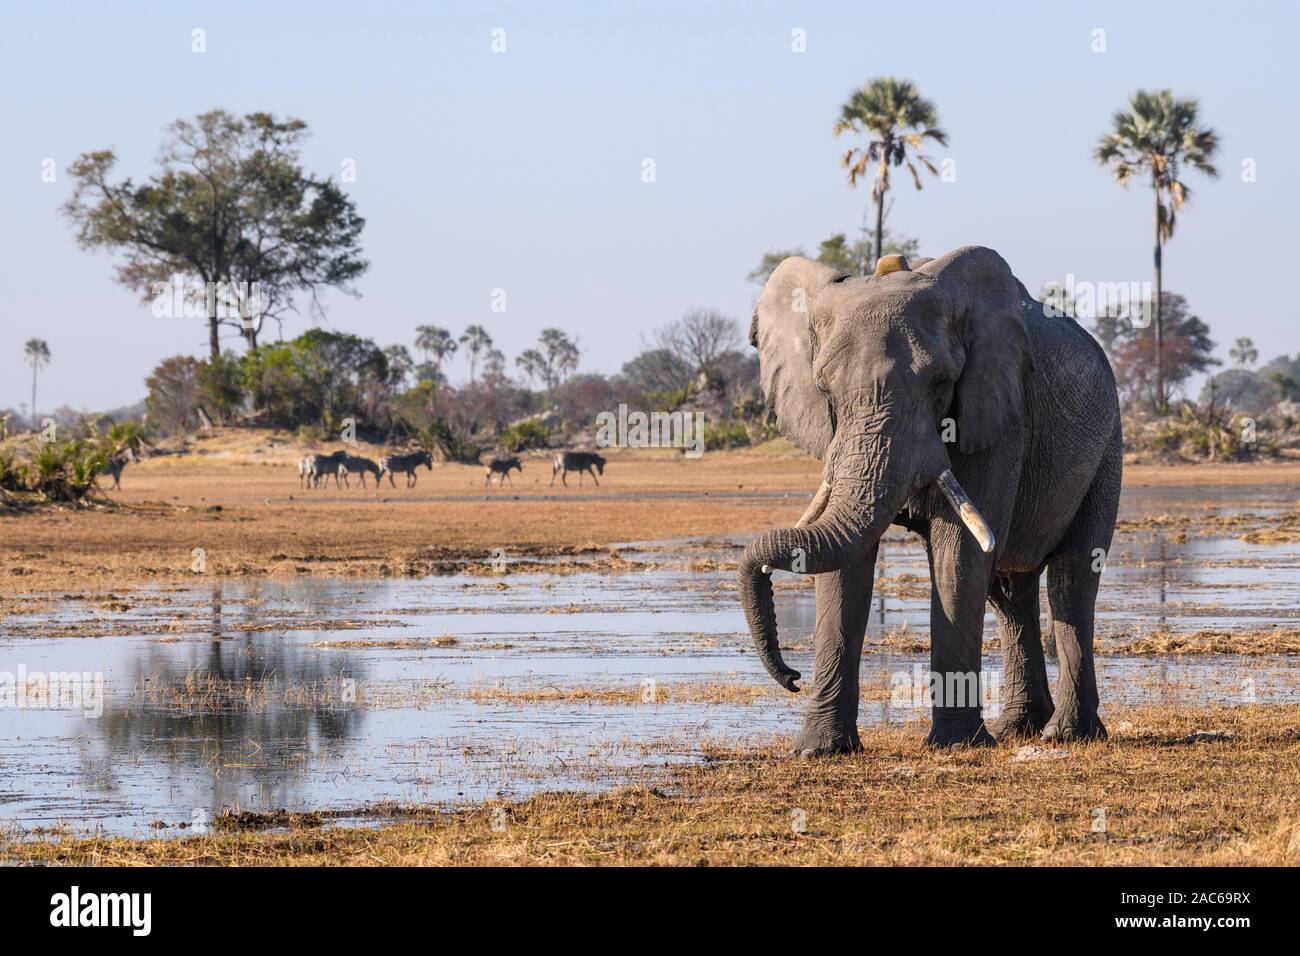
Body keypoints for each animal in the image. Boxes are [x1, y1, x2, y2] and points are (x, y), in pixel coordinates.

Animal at [740, 246, 1121, 754]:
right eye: (823, 388)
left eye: (942, 382)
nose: (792, 677)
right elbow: (846, 562)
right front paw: (819, 750)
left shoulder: (996, 412)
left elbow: (958, 551)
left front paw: (958, 746)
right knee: (1008, 590)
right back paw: (1017, 729)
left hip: (1108, 445)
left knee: (1073, 577)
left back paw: (1067, 734)